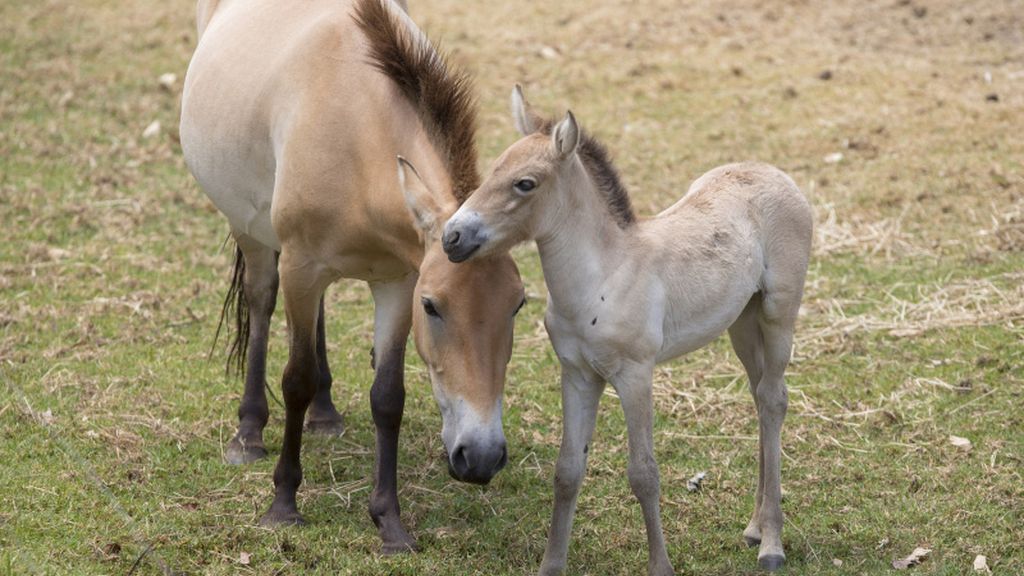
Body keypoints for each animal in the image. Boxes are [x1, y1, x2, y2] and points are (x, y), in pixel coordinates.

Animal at [179, 0, 526, 553]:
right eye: (433, 306)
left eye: (517, 305)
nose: (482, 457)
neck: (355, 135)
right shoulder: (301, 266)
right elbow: (295, 378)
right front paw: (283, 505)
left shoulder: (397, 283)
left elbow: (388, 397)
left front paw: (390, 523)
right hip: (253, 236)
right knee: (261, 302)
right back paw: (249, 433)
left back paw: (324, 414)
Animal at [441, 86, 813, 574]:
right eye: (492, 171)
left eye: (525, 183)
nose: (452, 237)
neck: (601, 279)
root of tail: (777, 175)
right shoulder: (577, 375)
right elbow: (567, 470)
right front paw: (551, 565)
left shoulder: (635, 374)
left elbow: (644, 473)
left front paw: (661, 567)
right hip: (742, 322)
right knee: (759, 396)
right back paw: (753, 528)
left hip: (778, 312)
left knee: (773, 399)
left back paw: (771, 544)